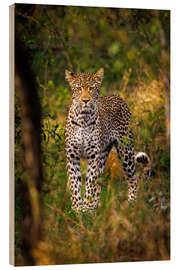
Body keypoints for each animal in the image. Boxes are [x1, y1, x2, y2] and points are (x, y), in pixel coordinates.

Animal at [64, 68, 150, 212]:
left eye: (91, 88)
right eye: (79, 88)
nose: (85, 100)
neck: (83, 118)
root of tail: (117, 96)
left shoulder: (93, 156)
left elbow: (89, 184)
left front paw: (85, 208)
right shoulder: (72, 156)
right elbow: (75, 184)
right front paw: (78, 210)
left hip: (125, 151)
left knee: (133, 178)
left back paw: (131, 203)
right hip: (104, 153)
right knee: (99, 185)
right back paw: (93, 209)